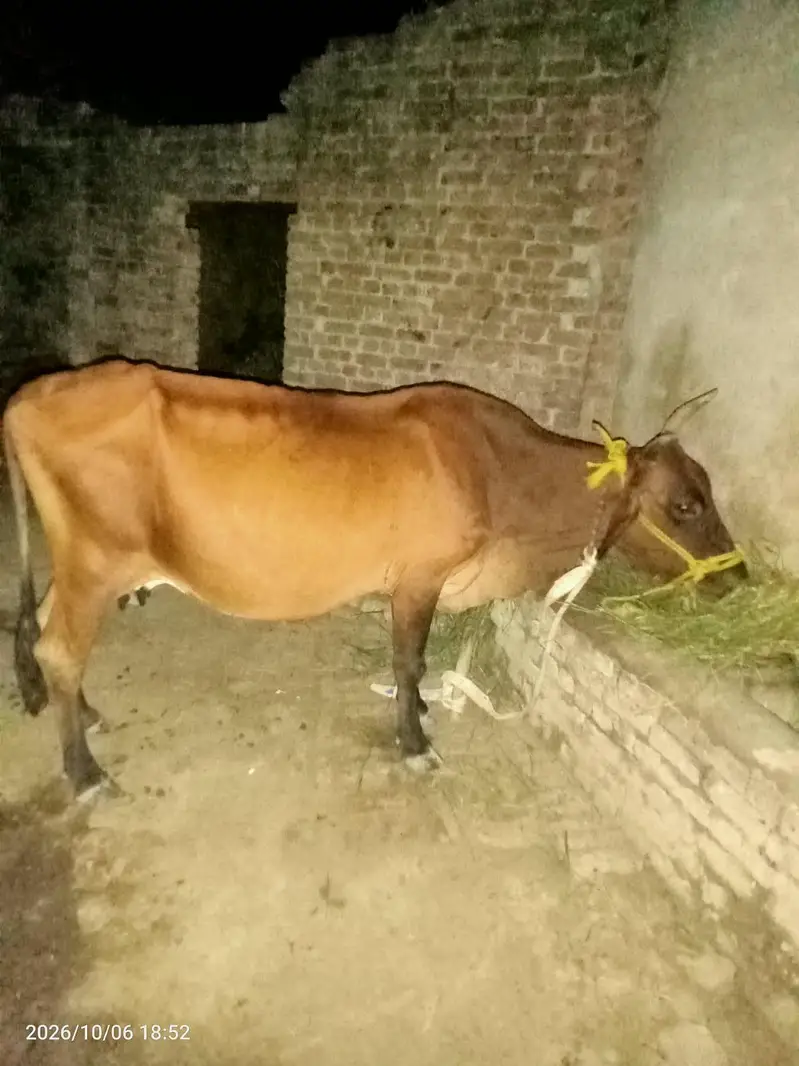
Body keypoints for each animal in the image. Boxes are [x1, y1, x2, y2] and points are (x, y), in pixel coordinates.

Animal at [2, 358, 746, 799]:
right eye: (685, 504)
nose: (736, 578)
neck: (499, 474)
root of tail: (32, 393)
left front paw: (419, 715)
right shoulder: (419, 577)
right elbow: (409, 660)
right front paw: (415, 742)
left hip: (79, 566)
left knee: (41, 633)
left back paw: (87, 716)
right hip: (96, 562)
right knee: (57, 650)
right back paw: (85, 775)